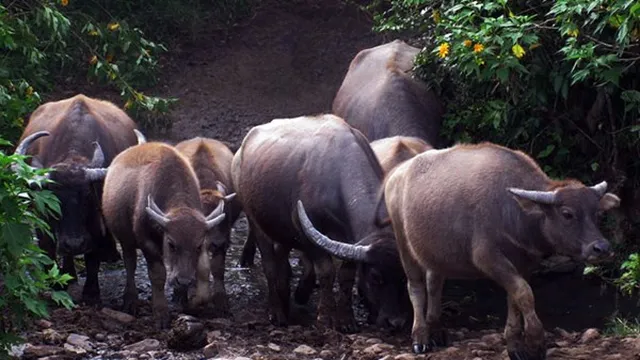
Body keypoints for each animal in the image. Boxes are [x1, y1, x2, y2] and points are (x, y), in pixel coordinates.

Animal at [10, 94, 140, 306]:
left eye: (87, 197)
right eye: (53, 200)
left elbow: (93, 255)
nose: (74, 244)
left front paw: (91, 293)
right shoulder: (42, 217)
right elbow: (47, 248)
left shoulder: (96, 216)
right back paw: (69, 272)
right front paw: (56, 286)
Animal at [102, 142, 228, 328]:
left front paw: (188, 304)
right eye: (171, 244)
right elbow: (158, 275)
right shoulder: (146, 242)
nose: (183, 281)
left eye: (198, 246)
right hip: (126, 241)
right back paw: (130, 301)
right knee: (130, 264)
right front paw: (161, 313)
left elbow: (202, 271)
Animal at [232, 114, 408, 332]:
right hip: (255, 221)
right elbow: (326, 272)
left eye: (404, 277)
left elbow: (346, 276)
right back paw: (277, 312)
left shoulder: (352, 243)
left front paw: (346, 320)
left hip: (281, 231)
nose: (396, 322)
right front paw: (325, 318)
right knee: (269, 265)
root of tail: (241, 152)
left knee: (281, 258)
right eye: (375, 277)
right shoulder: (308, 235)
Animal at [312, 143, 616, 360]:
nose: (601, 247)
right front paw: (536, 343)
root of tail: (396, 175)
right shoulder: (487, 258)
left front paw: (515, 345)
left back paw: (436, 329)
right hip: (404, 244)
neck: (514, 211)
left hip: (434, 252)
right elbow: (524, 293)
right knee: (416, 287)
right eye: (567, 214)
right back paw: (420, 337)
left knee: (435, 284)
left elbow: (515, 298)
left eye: (596, 213)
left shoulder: (523, 263)